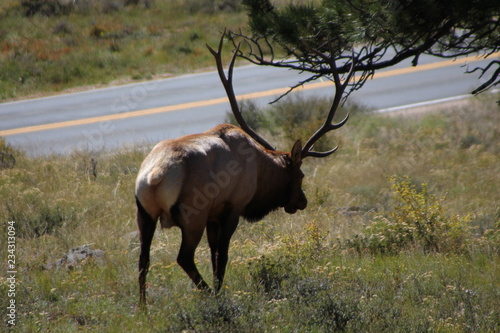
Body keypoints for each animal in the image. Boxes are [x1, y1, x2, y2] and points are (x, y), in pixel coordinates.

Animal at [133, 33, 352, 304]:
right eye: (300, 175)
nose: (302, 201)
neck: (259, 170)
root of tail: (153, 176)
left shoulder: (214, 215)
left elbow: (213, 255)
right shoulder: (232, 208)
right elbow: (222, 255)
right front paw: (219, 291)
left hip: (144, 213)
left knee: (143, 260)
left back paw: (143, 306)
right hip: (192, 215)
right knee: (183, 257)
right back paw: (211, 296)